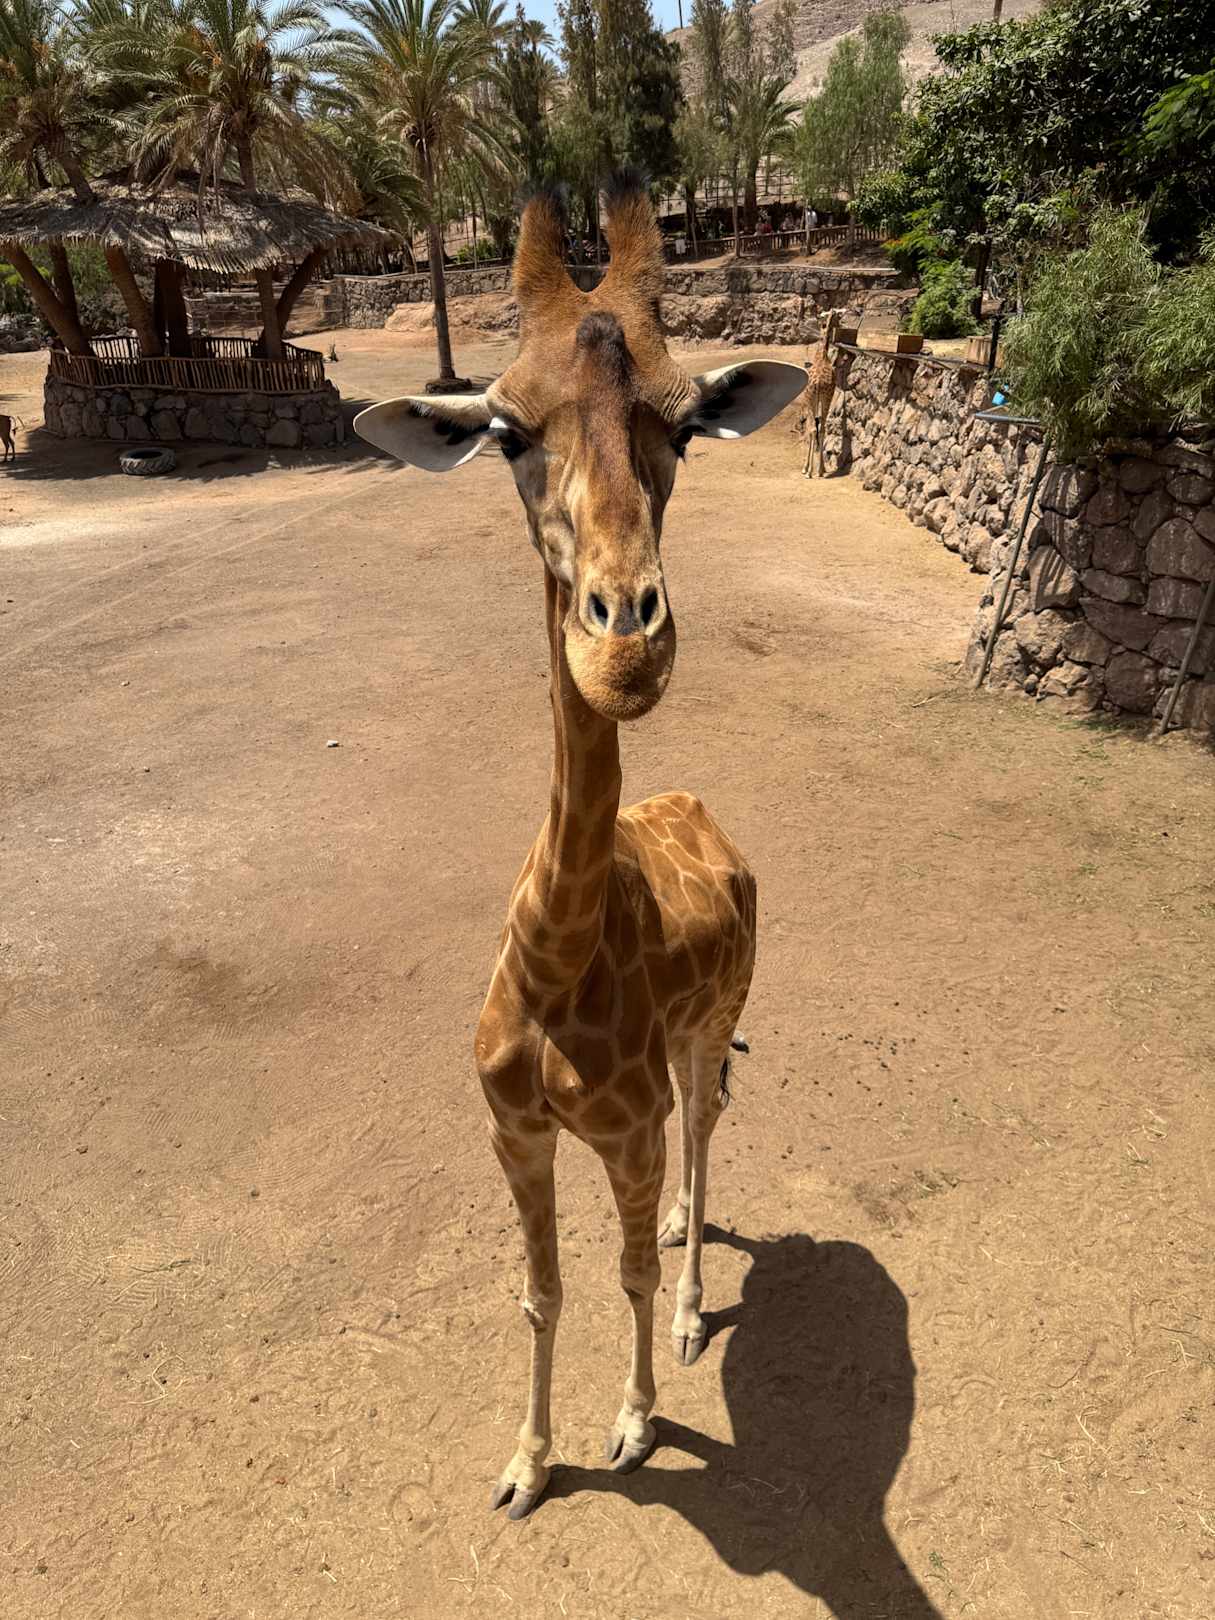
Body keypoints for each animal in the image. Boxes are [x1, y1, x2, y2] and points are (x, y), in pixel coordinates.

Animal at [354, 175, 805, 1521]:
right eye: (505, 430)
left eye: (688, 424)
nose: (626, 647)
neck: (556, 962)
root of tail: (707, 811)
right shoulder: (514, 1131)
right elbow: (541, 1291)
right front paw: (524, 1461)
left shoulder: (627, 1127)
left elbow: (625, 1280)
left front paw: (637, 1422)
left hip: (713, 1023)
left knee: (711, 1123)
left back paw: (702, 1307)